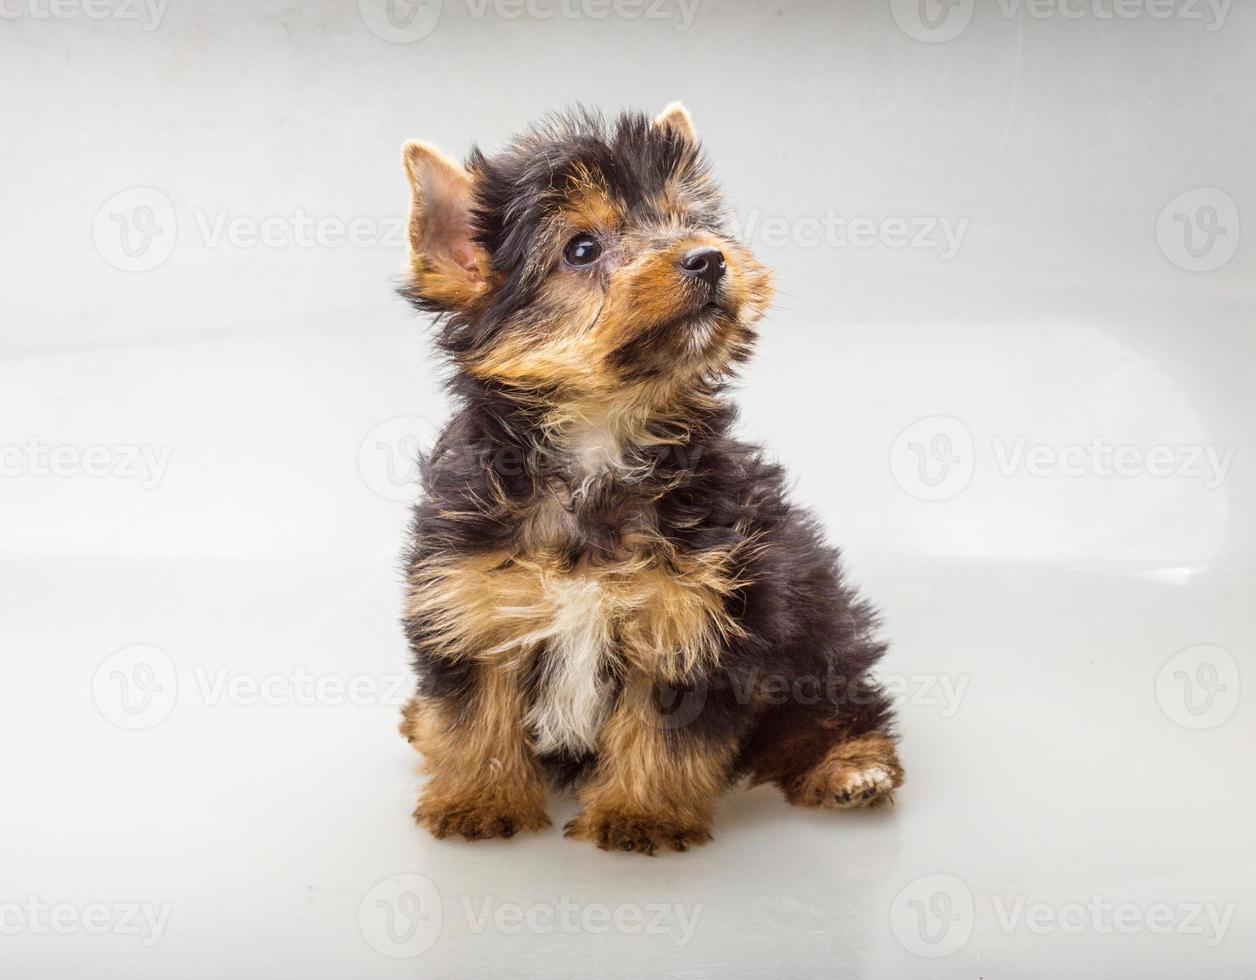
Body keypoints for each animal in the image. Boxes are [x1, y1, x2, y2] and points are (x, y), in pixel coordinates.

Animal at [396, 99, 899, 849]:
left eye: (685, 219)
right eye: (582, 249)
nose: (708, 258)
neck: (601, 438)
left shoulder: (694, 610)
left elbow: (664, 723)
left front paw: (642, 812)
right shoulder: (473, 595)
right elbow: (477, 705)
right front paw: (479, 798)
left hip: (816, 614)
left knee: (835, 699)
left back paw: (850, 765)